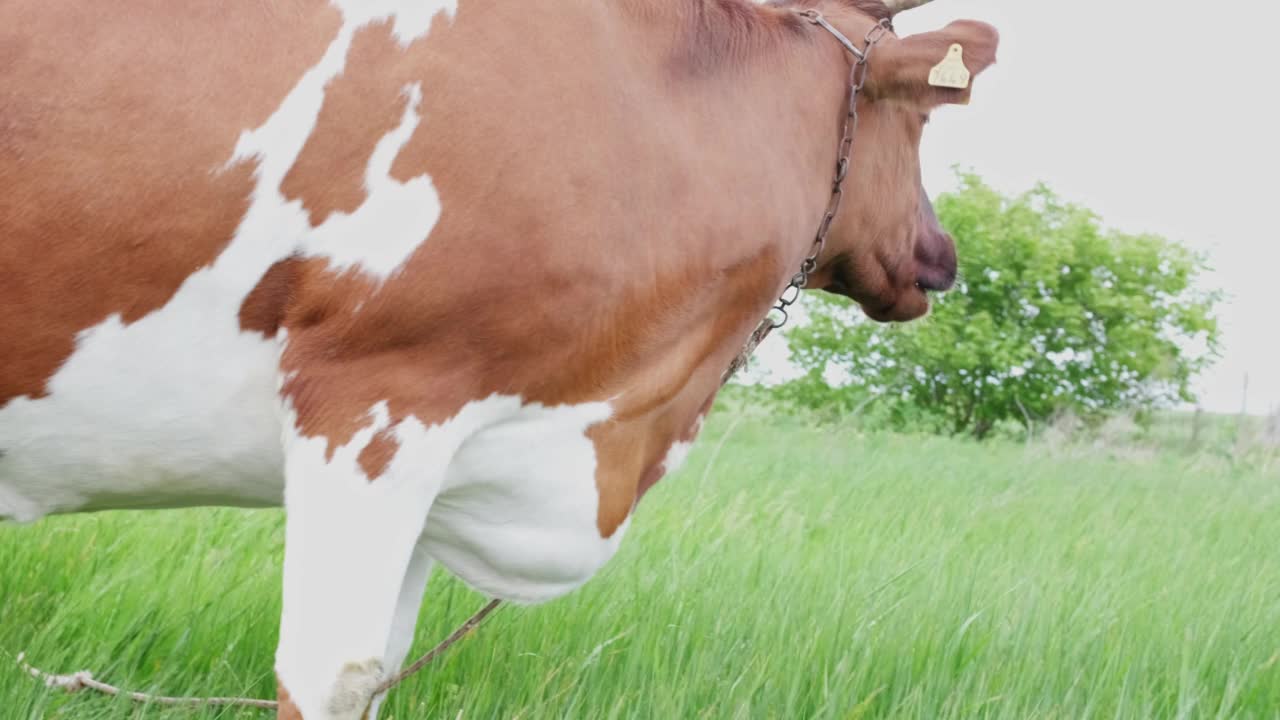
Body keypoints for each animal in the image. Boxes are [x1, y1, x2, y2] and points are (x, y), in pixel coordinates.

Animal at [0, 0, 998, 712]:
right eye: (921, 121)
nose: (942, 257)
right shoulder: (377, 403)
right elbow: (332, 669)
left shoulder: (449, 453)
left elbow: (379, 669)